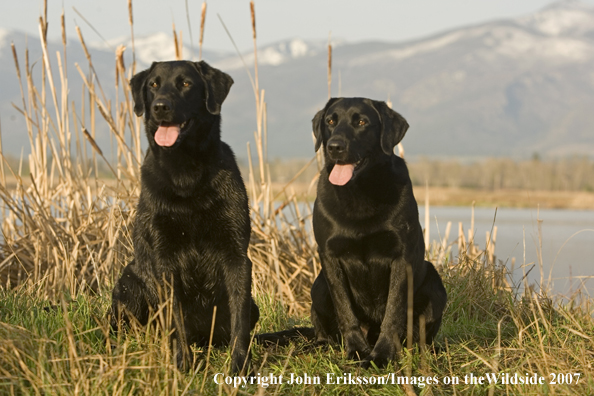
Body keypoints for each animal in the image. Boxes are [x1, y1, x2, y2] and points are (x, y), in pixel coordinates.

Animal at [110, 60, 258, 372]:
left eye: (186, 83)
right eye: (153, 84)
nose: (160, 107)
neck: (186, 175)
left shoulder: (237, 256)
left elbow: (239, 321)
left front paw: (240, 366)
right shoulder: (165, 260)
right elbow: (175, 319)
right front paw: (182, 365)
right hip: (129, 284)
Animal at [310, 96, 444, 368]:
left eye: (361, 122)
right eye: (331, 121)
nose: (334, 146)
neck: (360, 191)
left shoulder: (402, 257)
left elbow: (393, 311)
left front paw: (382, 355)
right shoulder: (329, 255)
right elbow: (345, 310)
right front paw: (356, 351)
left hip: (435, 283)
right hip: (318, 287)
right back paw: (322, 344)